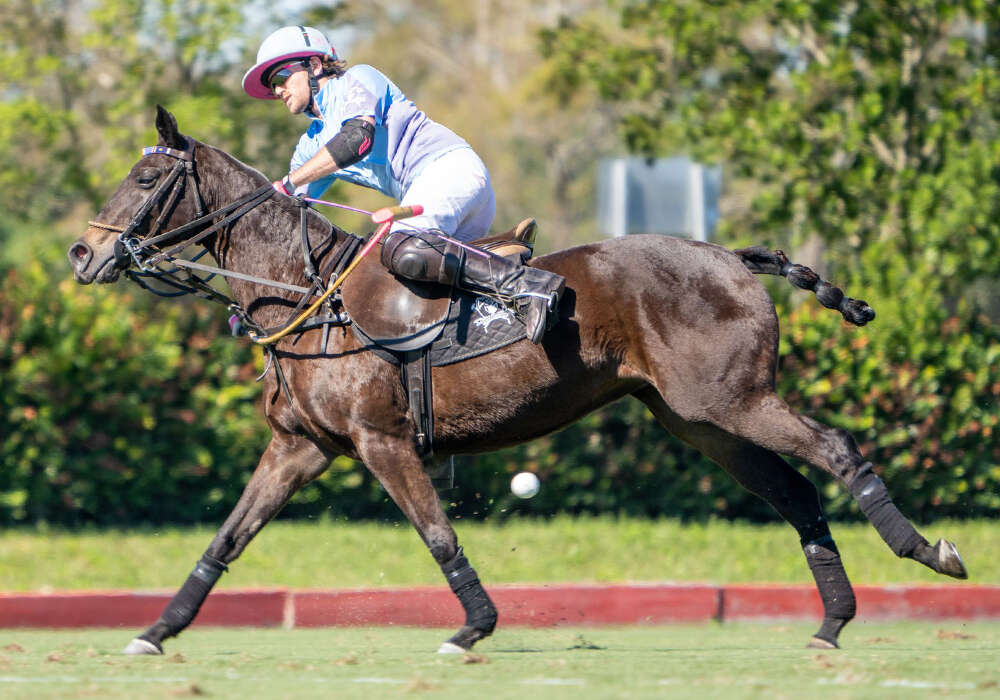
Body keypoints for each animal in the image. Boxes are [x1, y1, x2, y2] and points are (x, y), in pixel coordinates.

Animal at [66, 108, 964, 656]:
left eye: (145, 181)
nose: (83, 253)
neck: (304, 292)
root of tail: (733, 258)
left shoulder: (380, 441)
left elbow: (436, 534)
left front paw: (473, 628)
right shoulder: (301, 447)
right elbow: (226, 539)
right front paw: (156, 631)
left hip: (733, 400)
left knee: (838, 452)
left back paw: (931, 552)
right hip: (700, 420)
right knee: (796, 493)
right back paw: (832, 622)